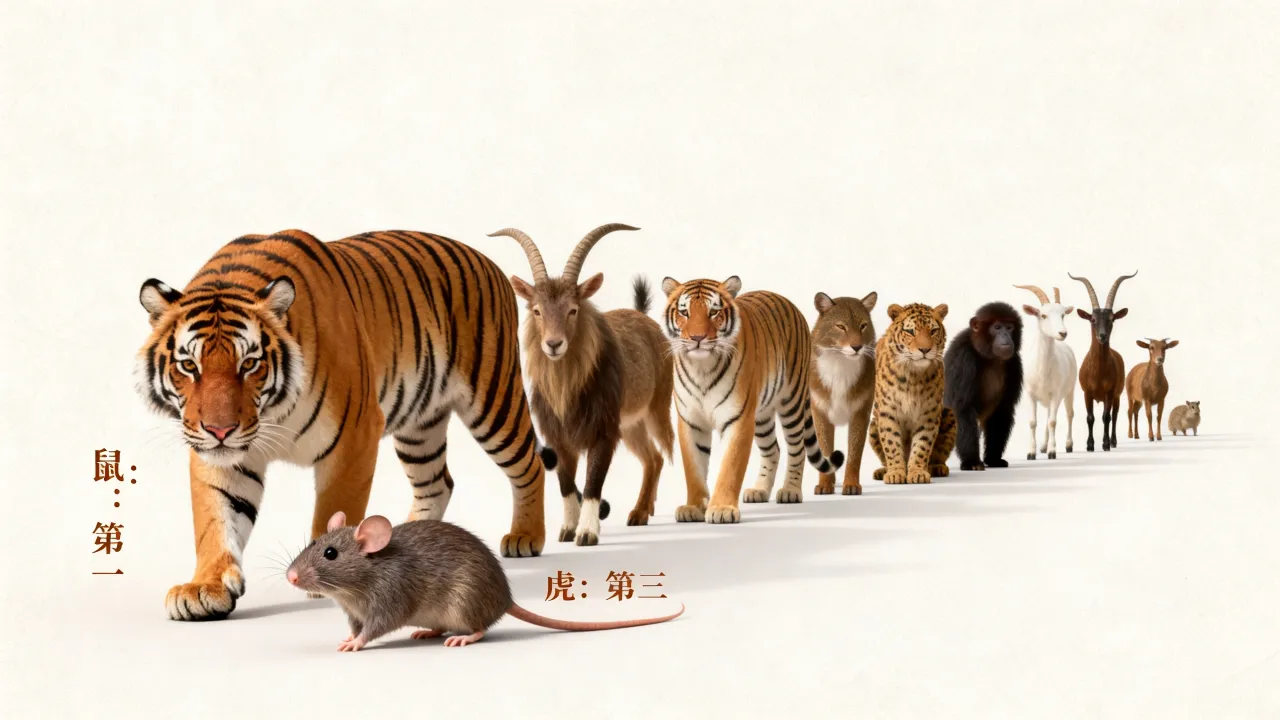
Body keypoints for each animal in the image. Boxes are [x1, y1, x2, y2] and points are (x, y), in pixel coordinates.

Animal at [134, 229, 554, 621]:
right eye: (189, 365)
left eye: (249, 364)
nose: (219, 430)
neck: (273, 412)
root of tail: (487, 261)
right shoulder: (220, 455)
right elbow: (215, 520)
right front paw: (204, 588)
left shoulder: (354, 437)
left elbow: (334, 511)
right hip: (420, 427)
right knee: (437, 483)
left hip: (493, 400)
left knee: (529, 465)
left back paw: (525, 536)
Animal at [660, 275, 844, 524]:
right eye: (684, 312)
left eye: (714, 312)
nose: (697, 338)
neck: (702, 368)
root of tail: (786, 300)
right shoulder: (691, 422)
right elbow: (694, 469)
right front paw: (693, 507)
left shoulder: (738, 420)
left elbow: (730, 467)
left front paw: (721, 509)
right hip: (761, 416)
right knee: (773, 449)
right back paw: (760, 490)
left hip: (792, 403)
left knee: (797, 448)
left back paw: (790, 491)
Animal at [867, 302, 957, 484]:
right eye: (910, 331)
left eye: (933, 330)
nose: (925, 349)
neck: (913, 375)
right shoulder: (887, 412)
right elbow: (891, 444)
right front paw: (895, 473)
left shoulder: (929, 414)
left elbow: (922, 445)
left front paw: (917, 472)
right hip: (873, 425)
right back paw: (883, 471)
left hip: (949, 414)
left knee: (939, 456)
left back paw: (937, 468)